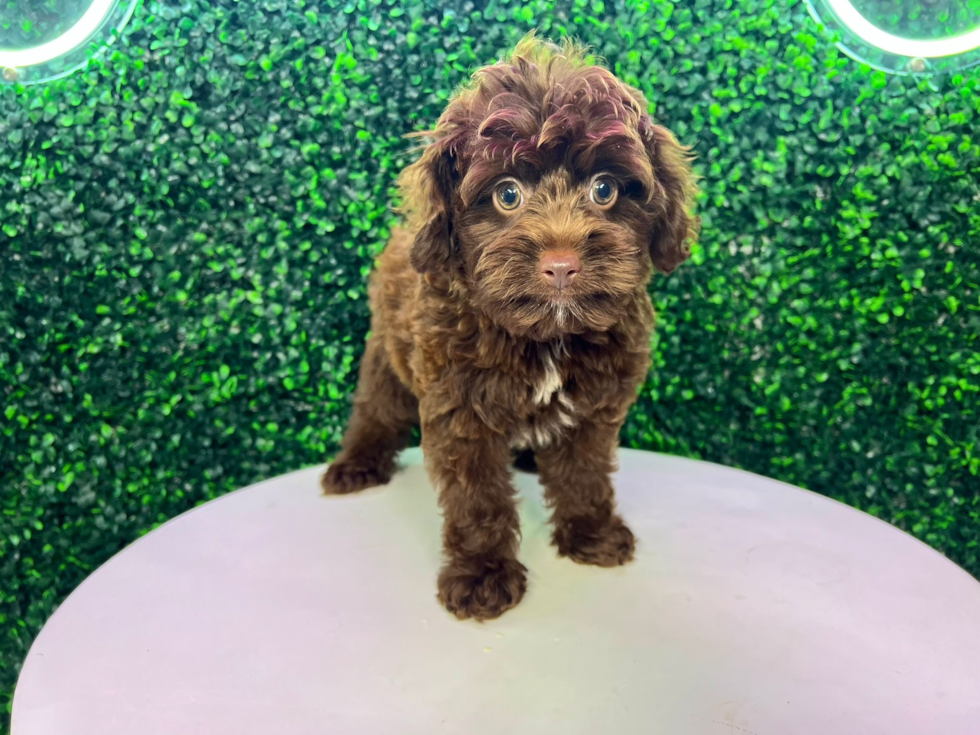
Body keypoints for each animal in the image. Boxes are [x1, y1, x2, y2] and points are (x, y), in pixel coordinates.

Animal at [322, 34, 696, 620]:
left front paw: (591, 535)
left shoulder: (594, 407)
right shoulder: (458, 408)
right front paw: (482, 575)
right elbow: (477, 498)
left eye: (605, 189)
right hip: (387, 355)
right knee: (375, 409)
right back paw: (354, 466)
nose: (562, 264)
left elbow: (585, 471)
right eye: (507, 194)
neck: (546, 338)